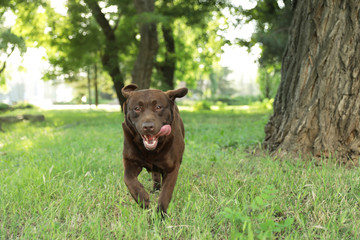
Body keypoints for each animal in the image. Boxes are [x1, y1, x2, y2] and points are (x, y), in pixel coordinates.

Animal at [121, 83, 188, 215]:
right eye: (137, 108)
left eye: (158, 107)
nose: (148, 127)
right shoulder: (130, 161)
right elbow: (128, 178)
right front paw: (142, 199)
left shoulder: (172, 167)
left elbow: (166, 192)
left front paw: (160, 214)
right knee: (155, 174)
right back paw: (155, 189)